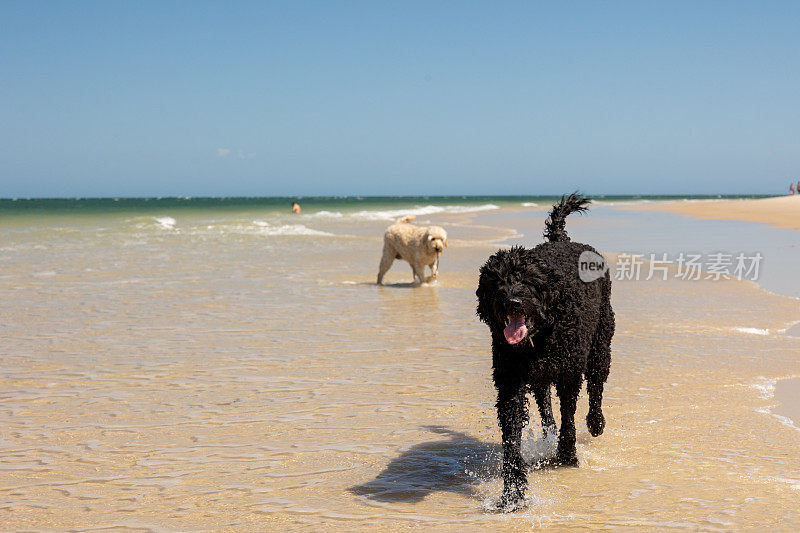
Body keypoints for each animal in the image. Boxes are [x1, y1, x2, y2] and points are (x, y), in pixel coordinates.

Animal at [476, 193, 612, 510]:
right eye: (497, 282)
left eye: (527, 281)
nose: (512, 302)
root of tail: (562, 239)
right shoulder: (511, 382)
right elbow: (512, 437)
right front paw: (513, 493)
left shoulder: (569, 373)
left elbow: (569, 414)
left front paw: (567, 455)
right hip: (540, 377)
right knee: (545, 403)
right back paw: (549, 433)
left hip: (601, 343)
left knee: (596, 385)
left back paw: (596, 422)